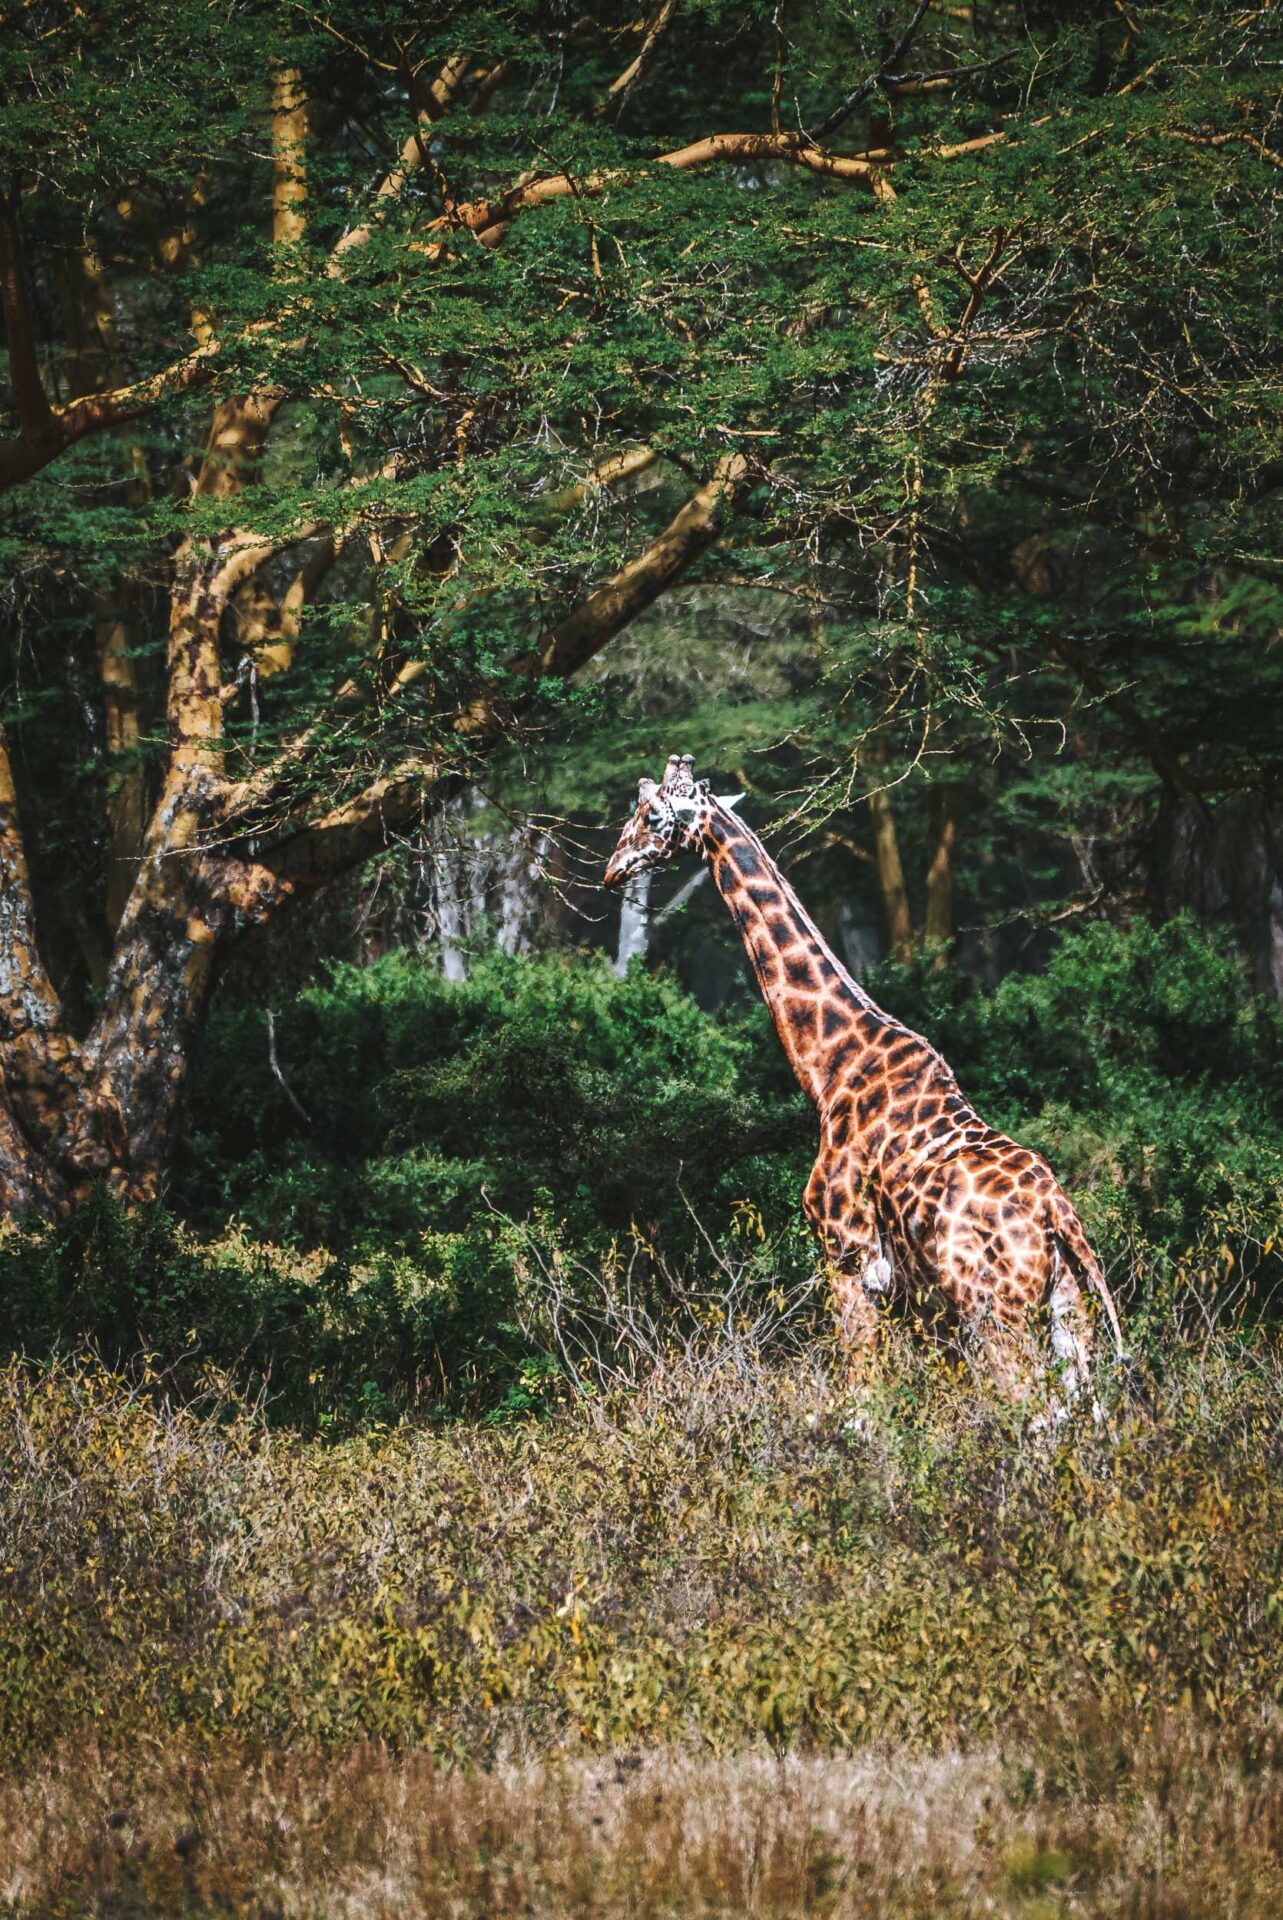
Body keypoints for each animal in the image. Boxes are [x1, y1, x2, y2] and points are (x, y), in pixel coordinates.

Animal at [603, 752, 1121, 1413]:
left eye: (651, 815)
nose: (612, 868)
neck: (830, 1069)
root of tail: (1060, 1219)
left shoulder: (848, 1260)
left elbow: (863, 1409)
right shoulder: (919, 1302)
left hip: (994, 1311)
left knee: (1031, 1414)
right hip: (1067, 1314)